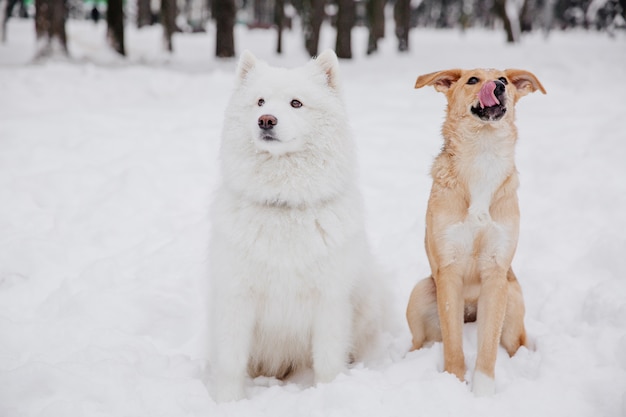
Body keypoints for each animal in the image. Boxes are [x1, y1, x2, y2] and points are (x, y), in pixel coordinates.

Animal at [210, 50, 386, 402]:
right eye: (260, 101)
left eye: (296, 103)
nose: (266, 120)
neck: (284, 205)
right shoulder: (237, 297)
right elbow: (231, 361)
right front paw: (228, 402)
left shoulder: (330, 300)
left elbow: (328, 361)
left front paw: (329, 394)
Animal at [408, 67, 544, 394]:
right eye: (472, 80)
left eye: (504, 80)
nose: (497, 86)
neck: (483, 154)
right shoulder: (449, 271)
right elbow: (453, 344)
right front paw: (453, 384)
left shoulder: (496, 273)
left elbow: (488, 348)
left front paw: (482, 392)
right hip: (420, 293)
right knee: (420, 341)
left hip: (513, 297)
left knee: (514, 343)